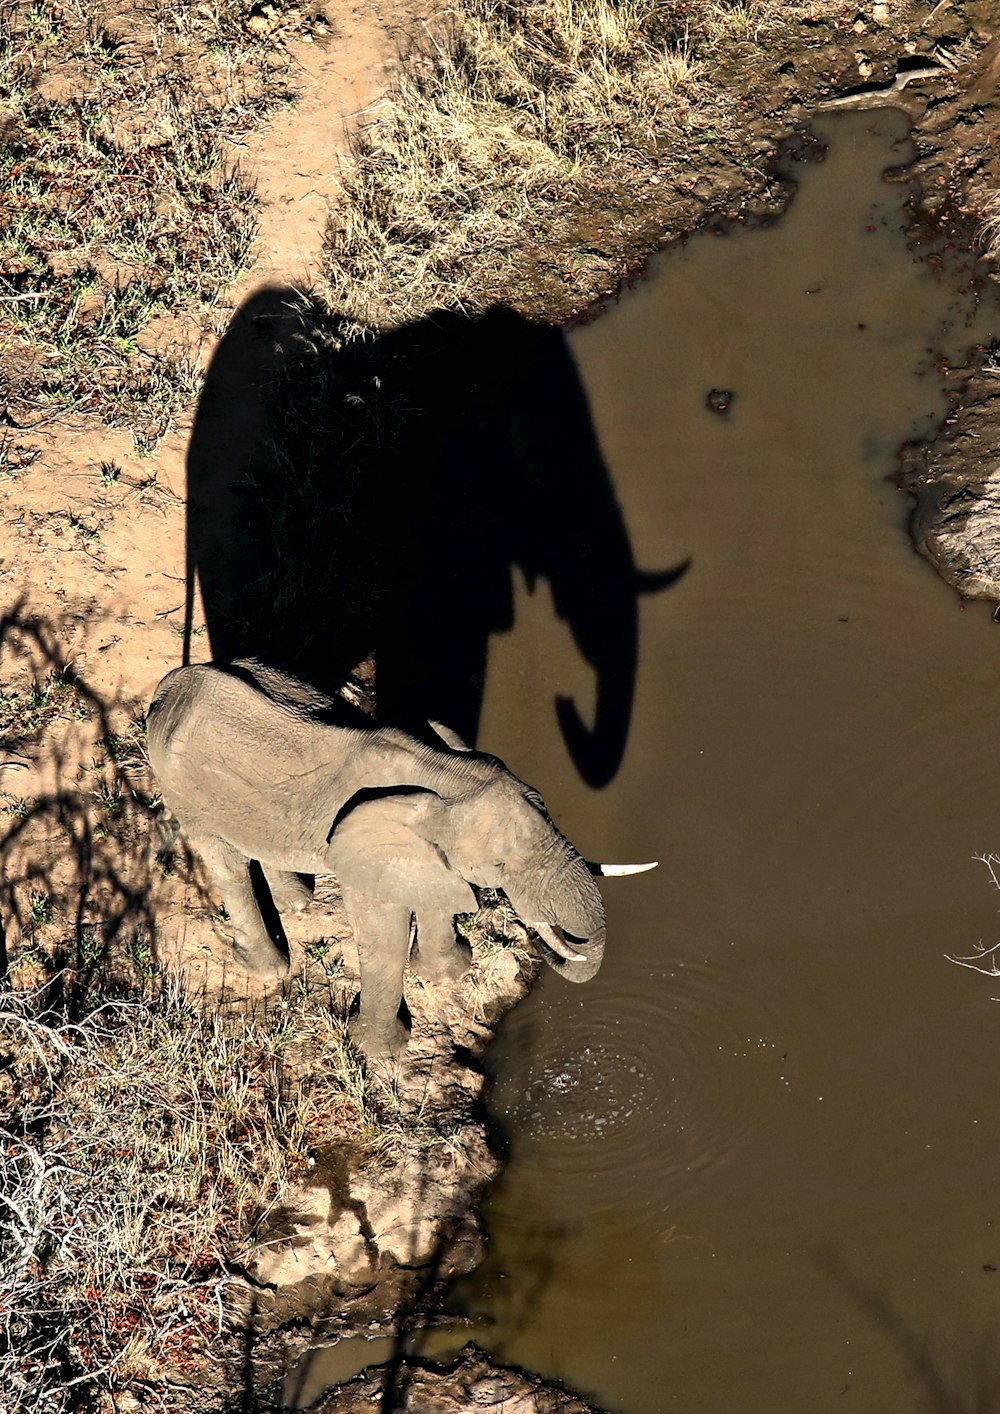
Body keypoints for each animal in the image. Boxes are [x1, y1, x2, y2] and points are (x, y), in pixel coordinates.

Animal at [144, 661, 653, 1063]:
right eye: (499, 865)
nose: (554, 943)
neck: (445, 773)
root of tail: (169, 684)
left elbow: (437, 895)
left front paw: (450, 973)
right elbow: (383, 931)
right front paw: (382, 1053)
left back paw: (298, 905)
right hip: (183, 785)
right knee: (226, 862)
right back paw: (268, 969)